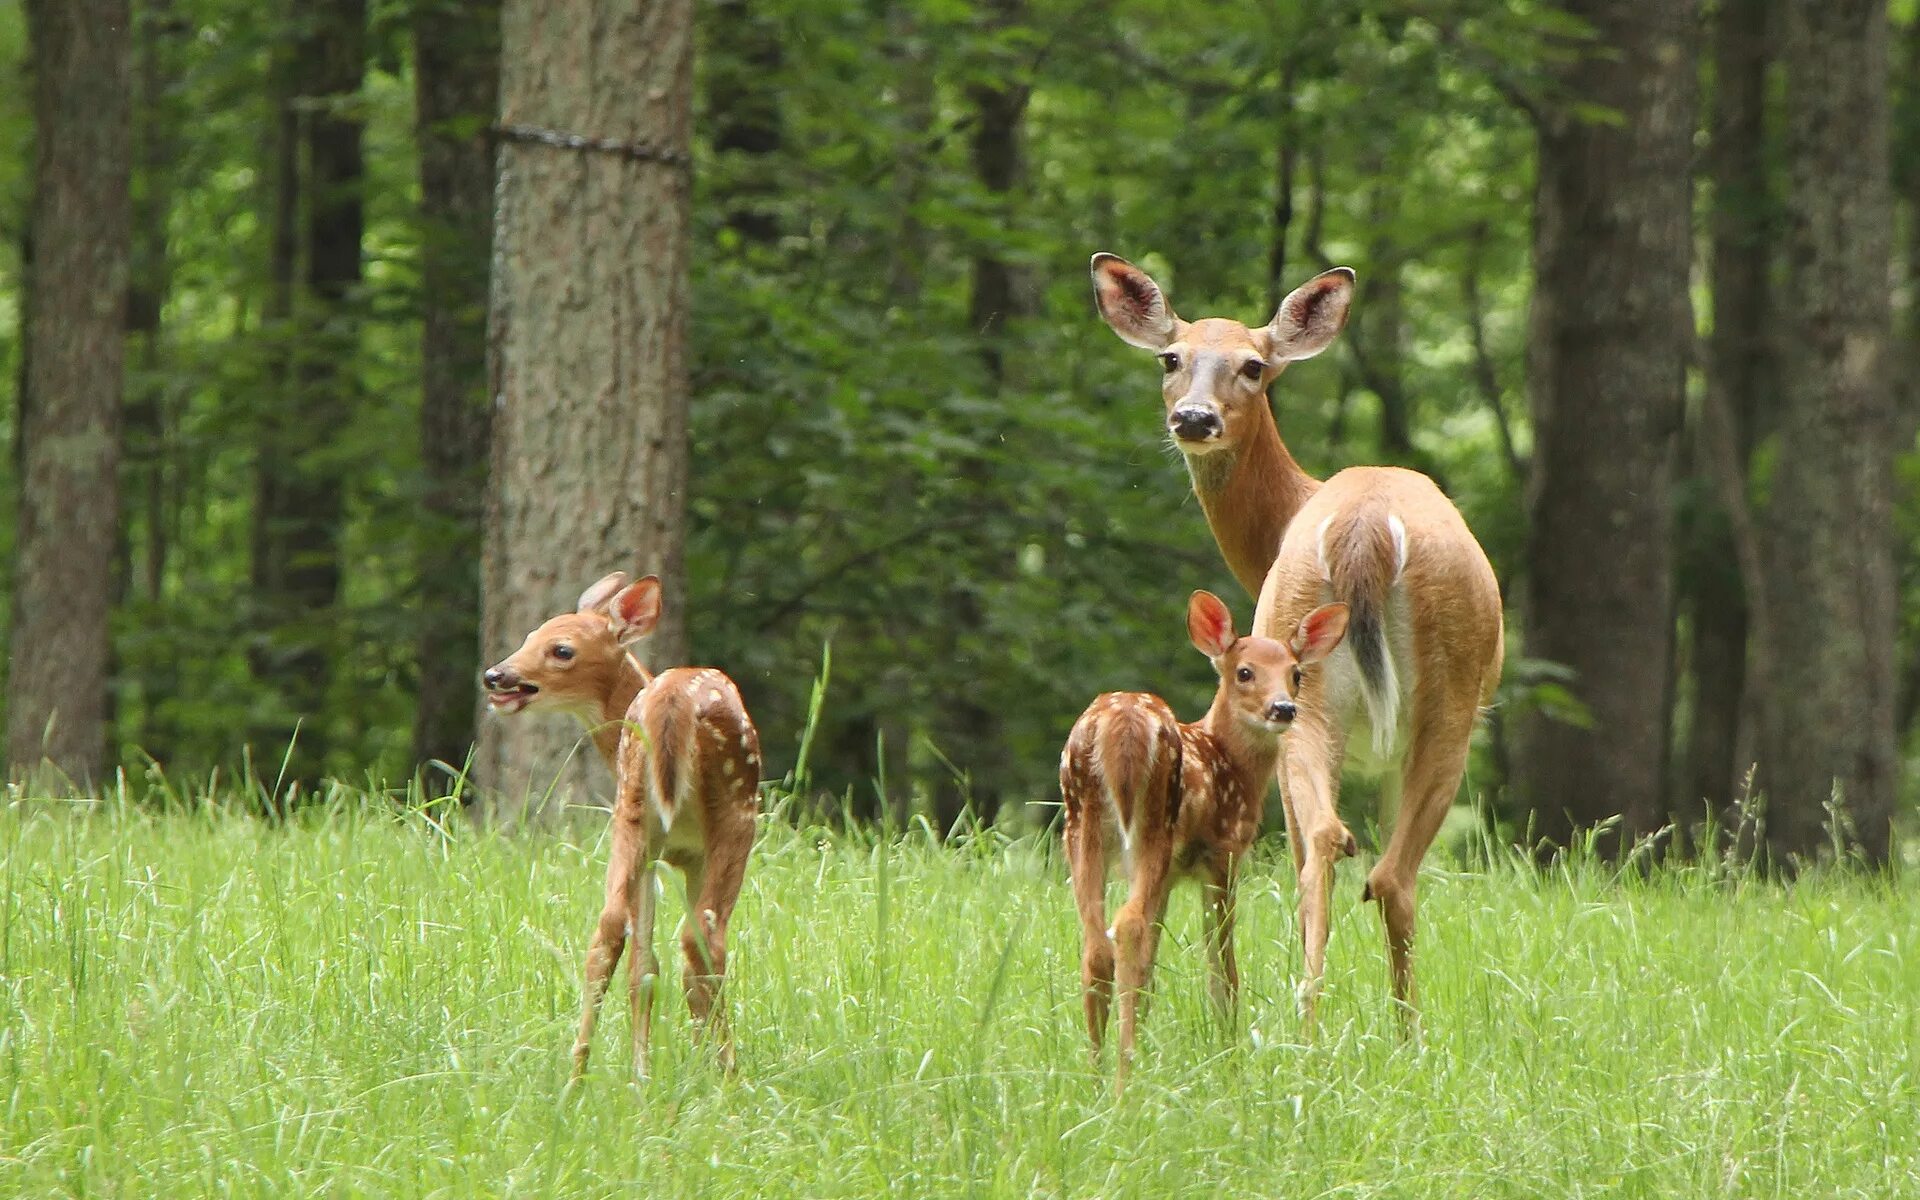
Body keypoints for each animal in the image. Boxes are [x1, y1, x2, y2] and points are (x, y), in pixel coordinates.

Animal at [480, 572, 756, 1075]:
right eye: (529, 637)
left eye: (561, 649)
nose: (496, 675)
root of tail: (671, 699)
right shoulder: (692, 855)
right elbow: (669, 963)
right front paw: (696, 1064)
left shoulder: (662, 854)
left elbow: (643, 965)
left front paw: (647, 1071)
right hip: (736, 813)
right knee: (704, 942)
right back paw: (727, 1072)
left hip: (631, 811)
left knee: (608, 929)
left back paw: (581, 1072)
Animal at [1090, 255, 1505, 1029]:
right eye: (1171, 358)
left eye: (1253, 366)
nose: (1194, 417)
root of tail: (1366, 527)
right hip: (1432, 699)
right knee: (1374, 867)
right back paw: (1376, 1031)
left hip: (1331, 682)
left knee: (1335, 850)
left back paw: (1324, 1025)